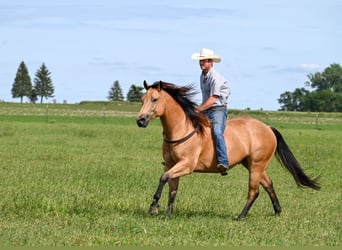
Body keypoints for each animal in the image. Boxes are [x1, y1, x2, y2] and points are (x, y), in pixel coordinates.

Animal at [135, 81, 320, 220]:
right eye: (142, 99)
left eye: (155, 99)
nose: (140, 120)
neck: (182, 129)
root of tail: (267, 127)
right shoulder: (171, 164)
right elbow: (172, 189)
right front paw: (167, 214)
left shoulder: (186, 165)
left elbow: (163, 178)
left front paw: (153, 206)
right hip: (252, 164)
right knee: (268, 184)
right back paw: (277, 210)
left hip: (256, 165)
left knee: (254, 191)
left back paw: (241, 216)